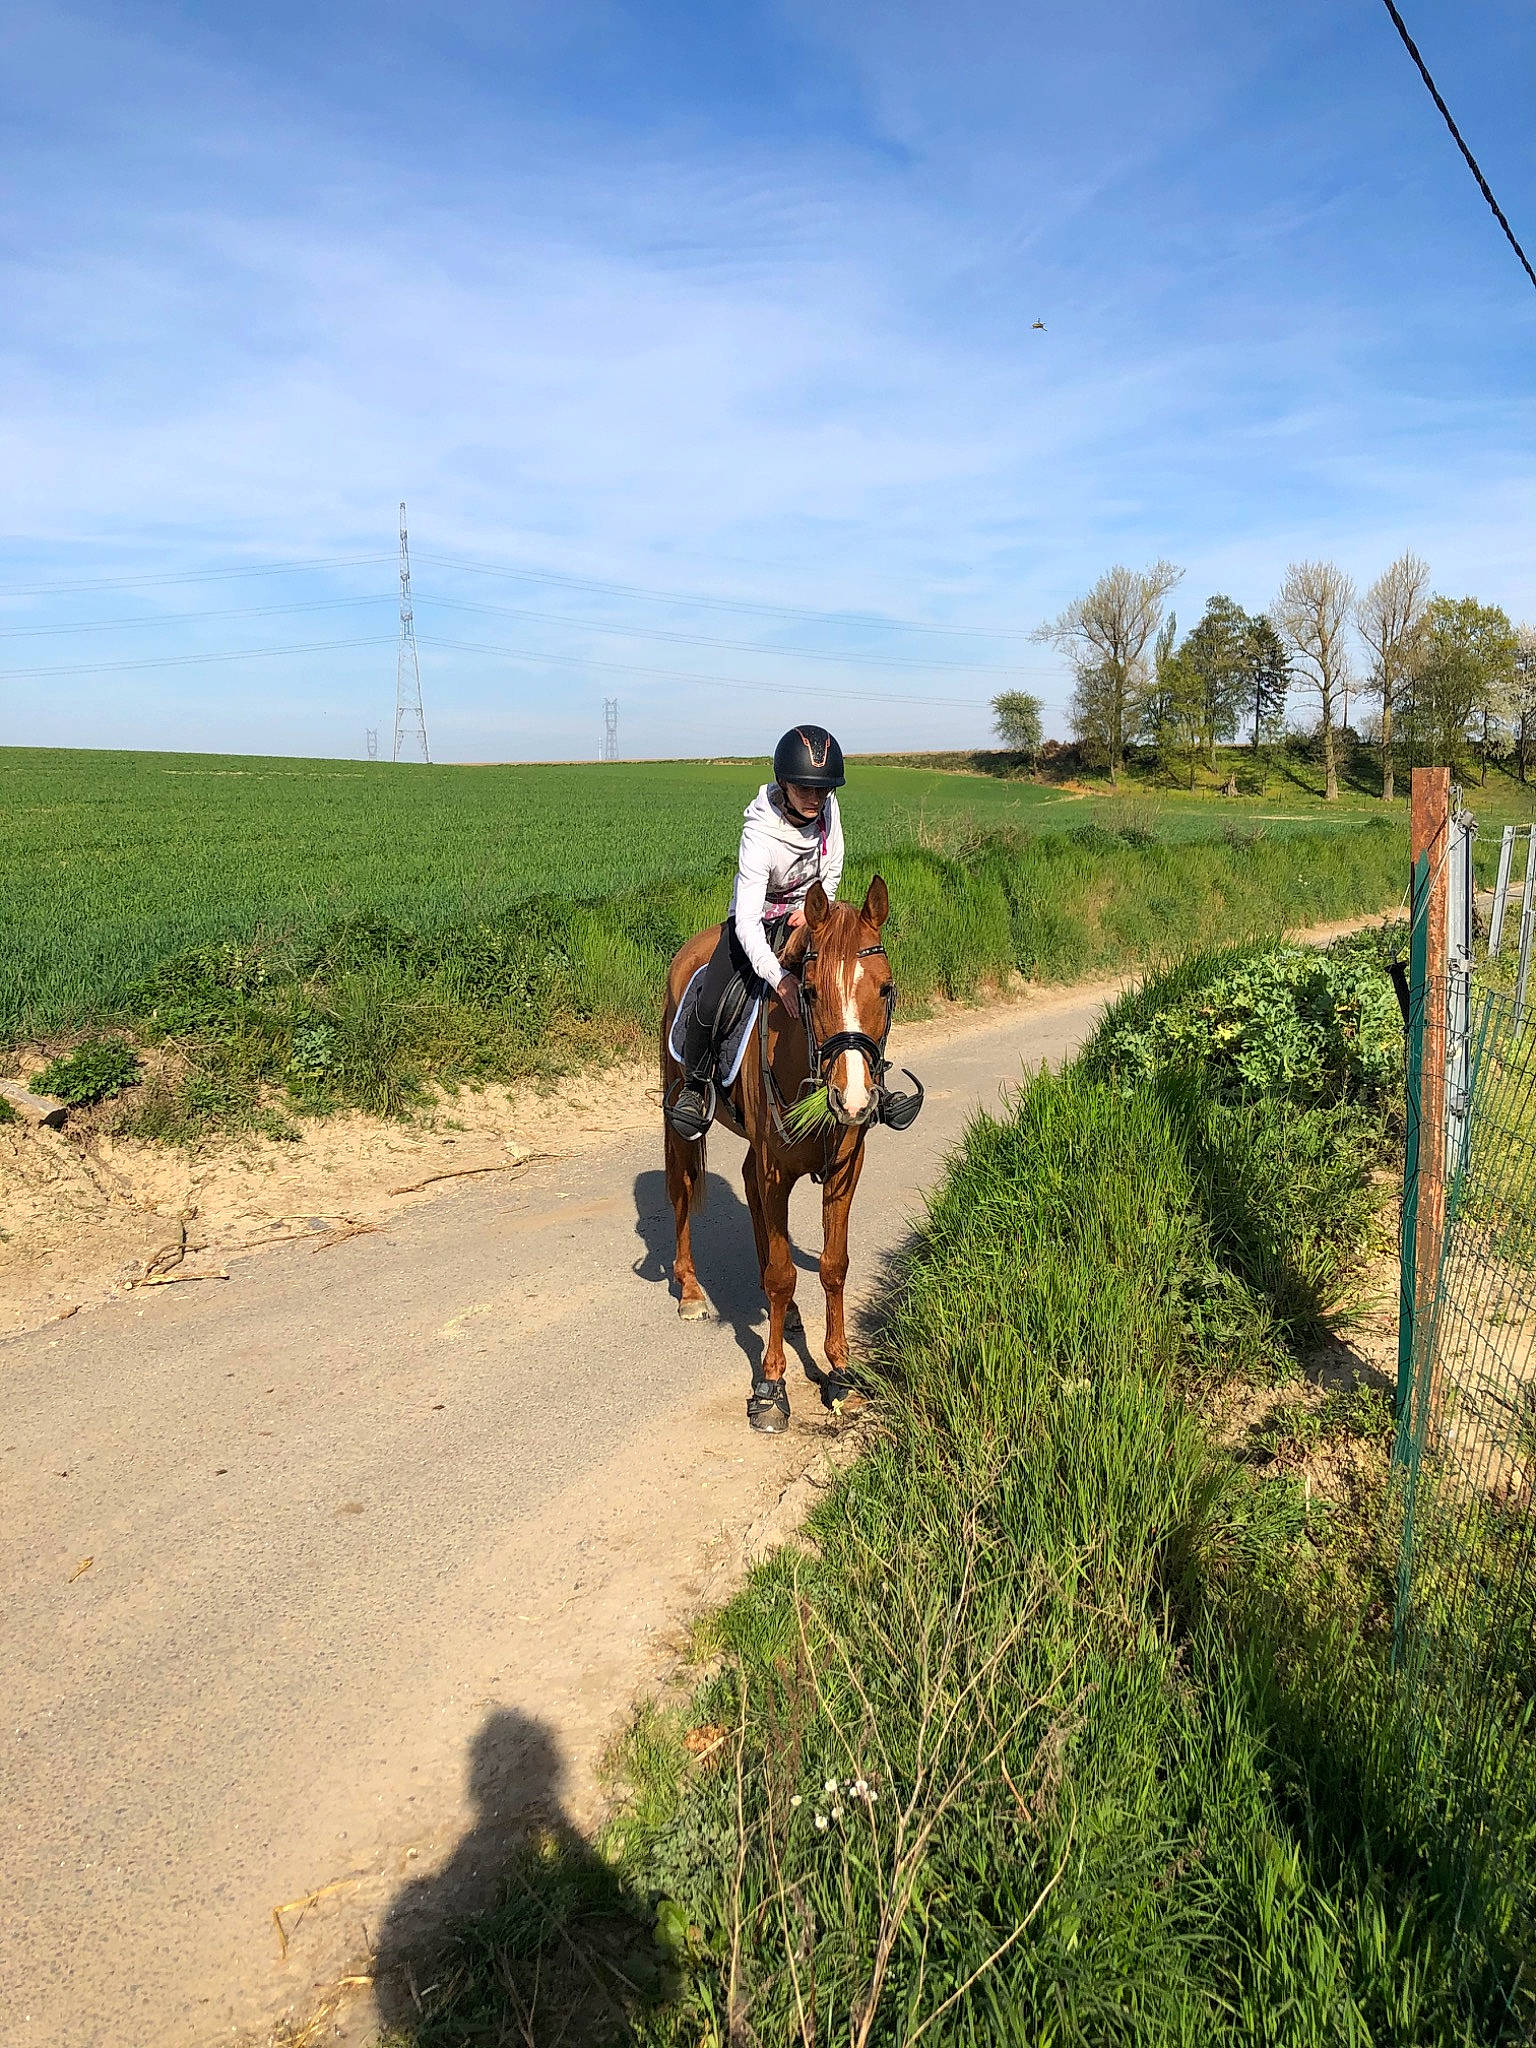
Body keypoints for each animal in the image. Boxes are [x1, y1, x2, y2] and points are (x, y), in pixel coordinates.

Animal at [660, 875, 902, 1430]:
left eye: (884, 988)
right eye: (809, 992)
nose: (853, 1098)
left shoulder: (843, 1169)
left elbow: (832, 1266)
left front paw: (840, 1372)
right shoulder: (777, 1171)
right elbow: (780, 1274)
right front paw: (771, 1385)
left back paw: (787, 1315)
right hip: (681, 1124)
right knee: (682, 1192)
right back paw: (690, 1292)